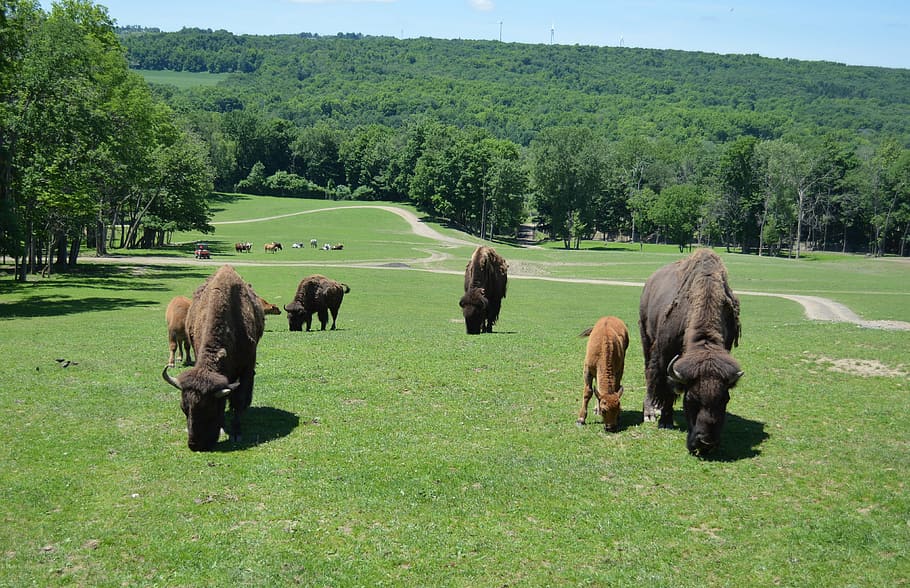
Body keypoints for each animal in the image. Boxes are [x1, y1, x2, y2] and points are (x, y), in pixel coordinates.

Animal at [162, 265, 265, 451]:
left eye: (209, 409)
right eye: (183, 408)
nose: (195, 445)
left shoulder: (246, 368)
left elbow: (238, 399)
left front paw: (237, 433)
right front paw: (224, 428)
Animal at [639, 249, 743, 455]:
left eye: (725, 399)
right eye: (690, 399)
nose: (706, 443)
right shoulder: (665, 356)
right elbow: (666, 388)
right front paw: (665, 421)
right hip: (646, 338)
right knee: (649, 374)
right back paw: (650, 412)